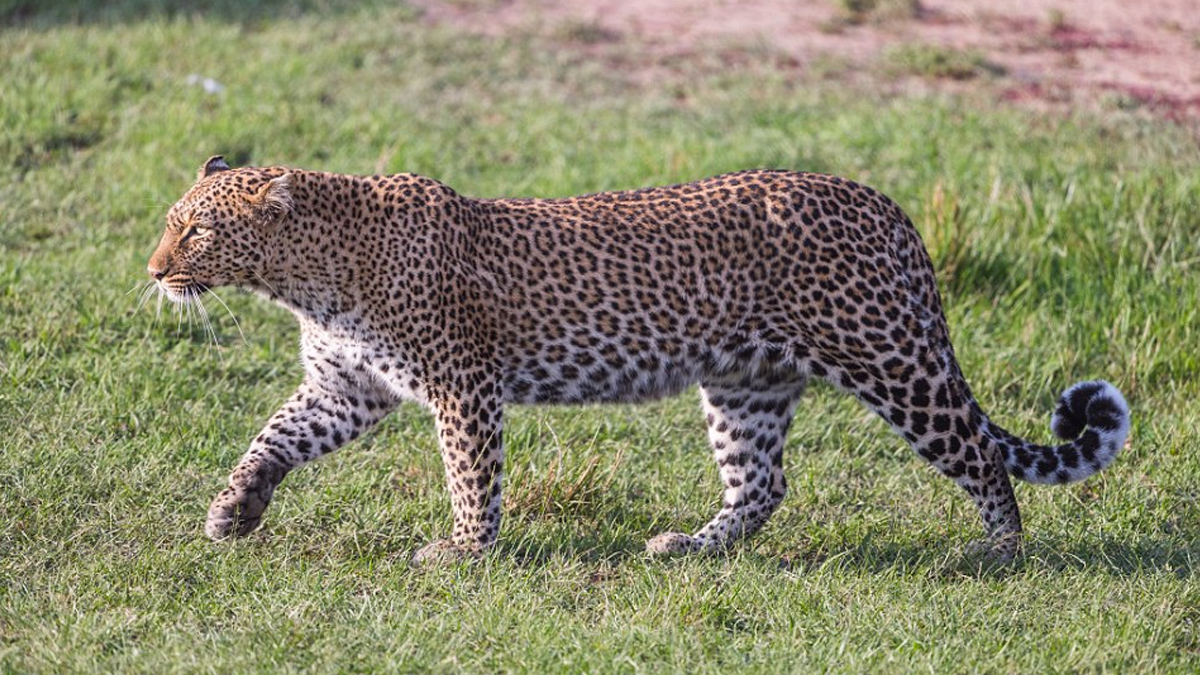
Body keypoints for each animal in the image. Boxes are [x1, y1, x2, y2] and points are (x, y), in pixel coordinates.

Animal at [148, 155, 1130, 565]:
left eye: (197, 230)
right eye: (170, 222)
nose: (154, 269)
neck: (306, 277)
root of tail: (884, 205)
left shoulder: (463, 385)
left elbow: (471, 475)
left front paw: (464, 552)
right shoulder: (345, 386)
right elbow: (274, 436)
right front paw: (233, 511)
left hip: (891, 358)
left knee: (977, 450)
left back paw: (999, 551)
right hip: (746, 380)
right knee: (763, 483)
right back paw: (689, 546)